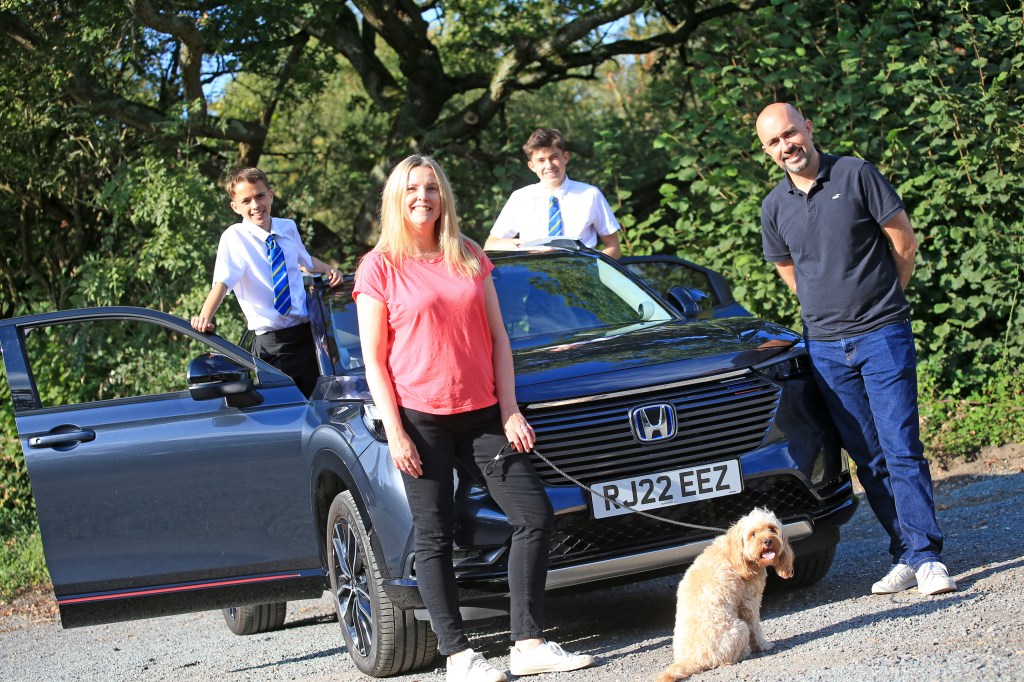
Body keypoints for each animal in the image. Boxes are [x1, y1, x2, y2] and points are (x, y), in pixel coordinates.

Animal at [659, 507, 794, 675]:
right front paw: (763, 645)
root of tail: (693, 660)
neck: (737, 553)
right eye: (753, 534)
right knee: (727, 659)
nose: (768, 541)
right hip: (740, 628)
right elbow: (756, 628)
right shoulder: (749, 602)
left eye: (772, 529)